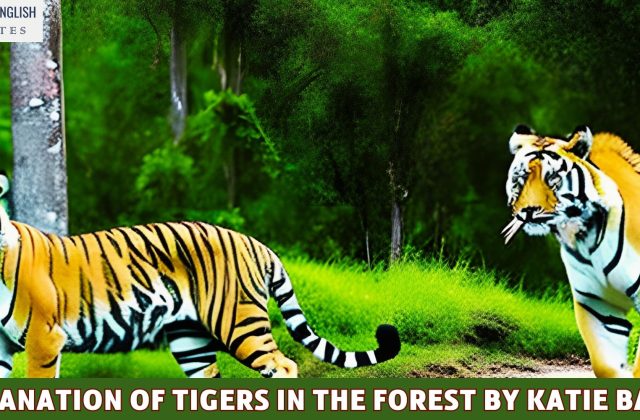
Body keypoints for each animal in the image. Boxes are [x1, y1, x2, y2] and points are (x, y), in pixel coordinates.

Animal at [504, 124, 640, 378]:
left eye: (553, 179)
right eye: (521, 177)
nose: (528, 210)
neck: (586, 239)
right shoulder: (597, 304)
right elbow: (605, 366)